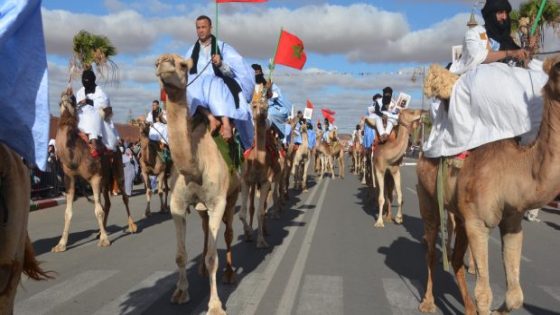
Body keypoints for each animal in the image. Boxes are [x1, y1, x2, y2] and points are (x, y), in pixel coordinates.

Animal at [52, 89, 137, 254]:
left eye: (73, 99)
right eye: (60, 101)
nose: (66, 95)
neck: (74, 155)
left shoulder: (95, 177)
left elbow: (98, 210)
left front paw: (104, 240)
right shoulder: (69, 178)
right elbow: (68, 213)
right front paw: (61, 244)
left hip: (117, 169)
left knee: (124, 196)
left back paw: (132, 226)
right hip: (106, 178)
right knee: (108, 203)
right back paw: (100, 231)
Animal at [155, 53, 241, 314]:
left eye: (183, 65)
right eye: (156, 63)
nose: (163, 62)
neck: (196, 167)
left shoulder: (217, 202)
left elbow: (214, 257)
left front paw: (215, 305)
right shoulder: (177, 204)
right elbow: (181, 255)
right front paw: (180, 292)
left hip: (233, 195)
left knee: (229, 233)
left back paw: (229, 273)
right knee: (204, 229)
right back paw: (202, 270)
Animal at [238, 85, 282, 248]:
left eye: (267, 106)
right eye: (254, 105)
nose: (262, 114)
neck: (257, 161)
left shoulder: (265, 182)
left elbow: (261, 212)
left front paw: (261, 240)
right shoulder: (245, 181)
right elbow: (242, 213)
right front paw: (249, 232)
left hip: (274, 178)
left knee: (265, 205)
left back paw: (266, 230)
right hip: (252, 184)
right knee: (251, 207)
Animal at [416, 56, 560, 315]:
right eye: (559, 67)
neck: (516, 169)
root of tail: (423, 151)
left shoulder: (512, 222)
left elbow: (515, 296)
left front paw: (497, 310)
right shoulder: (478, 222)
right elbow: (484, 294)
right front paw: (485, 307)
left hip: (460, 214)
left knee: (455, 259)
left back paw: (468, 308)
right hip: (428, 199)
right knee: (431, 252)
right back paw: (428, 302)